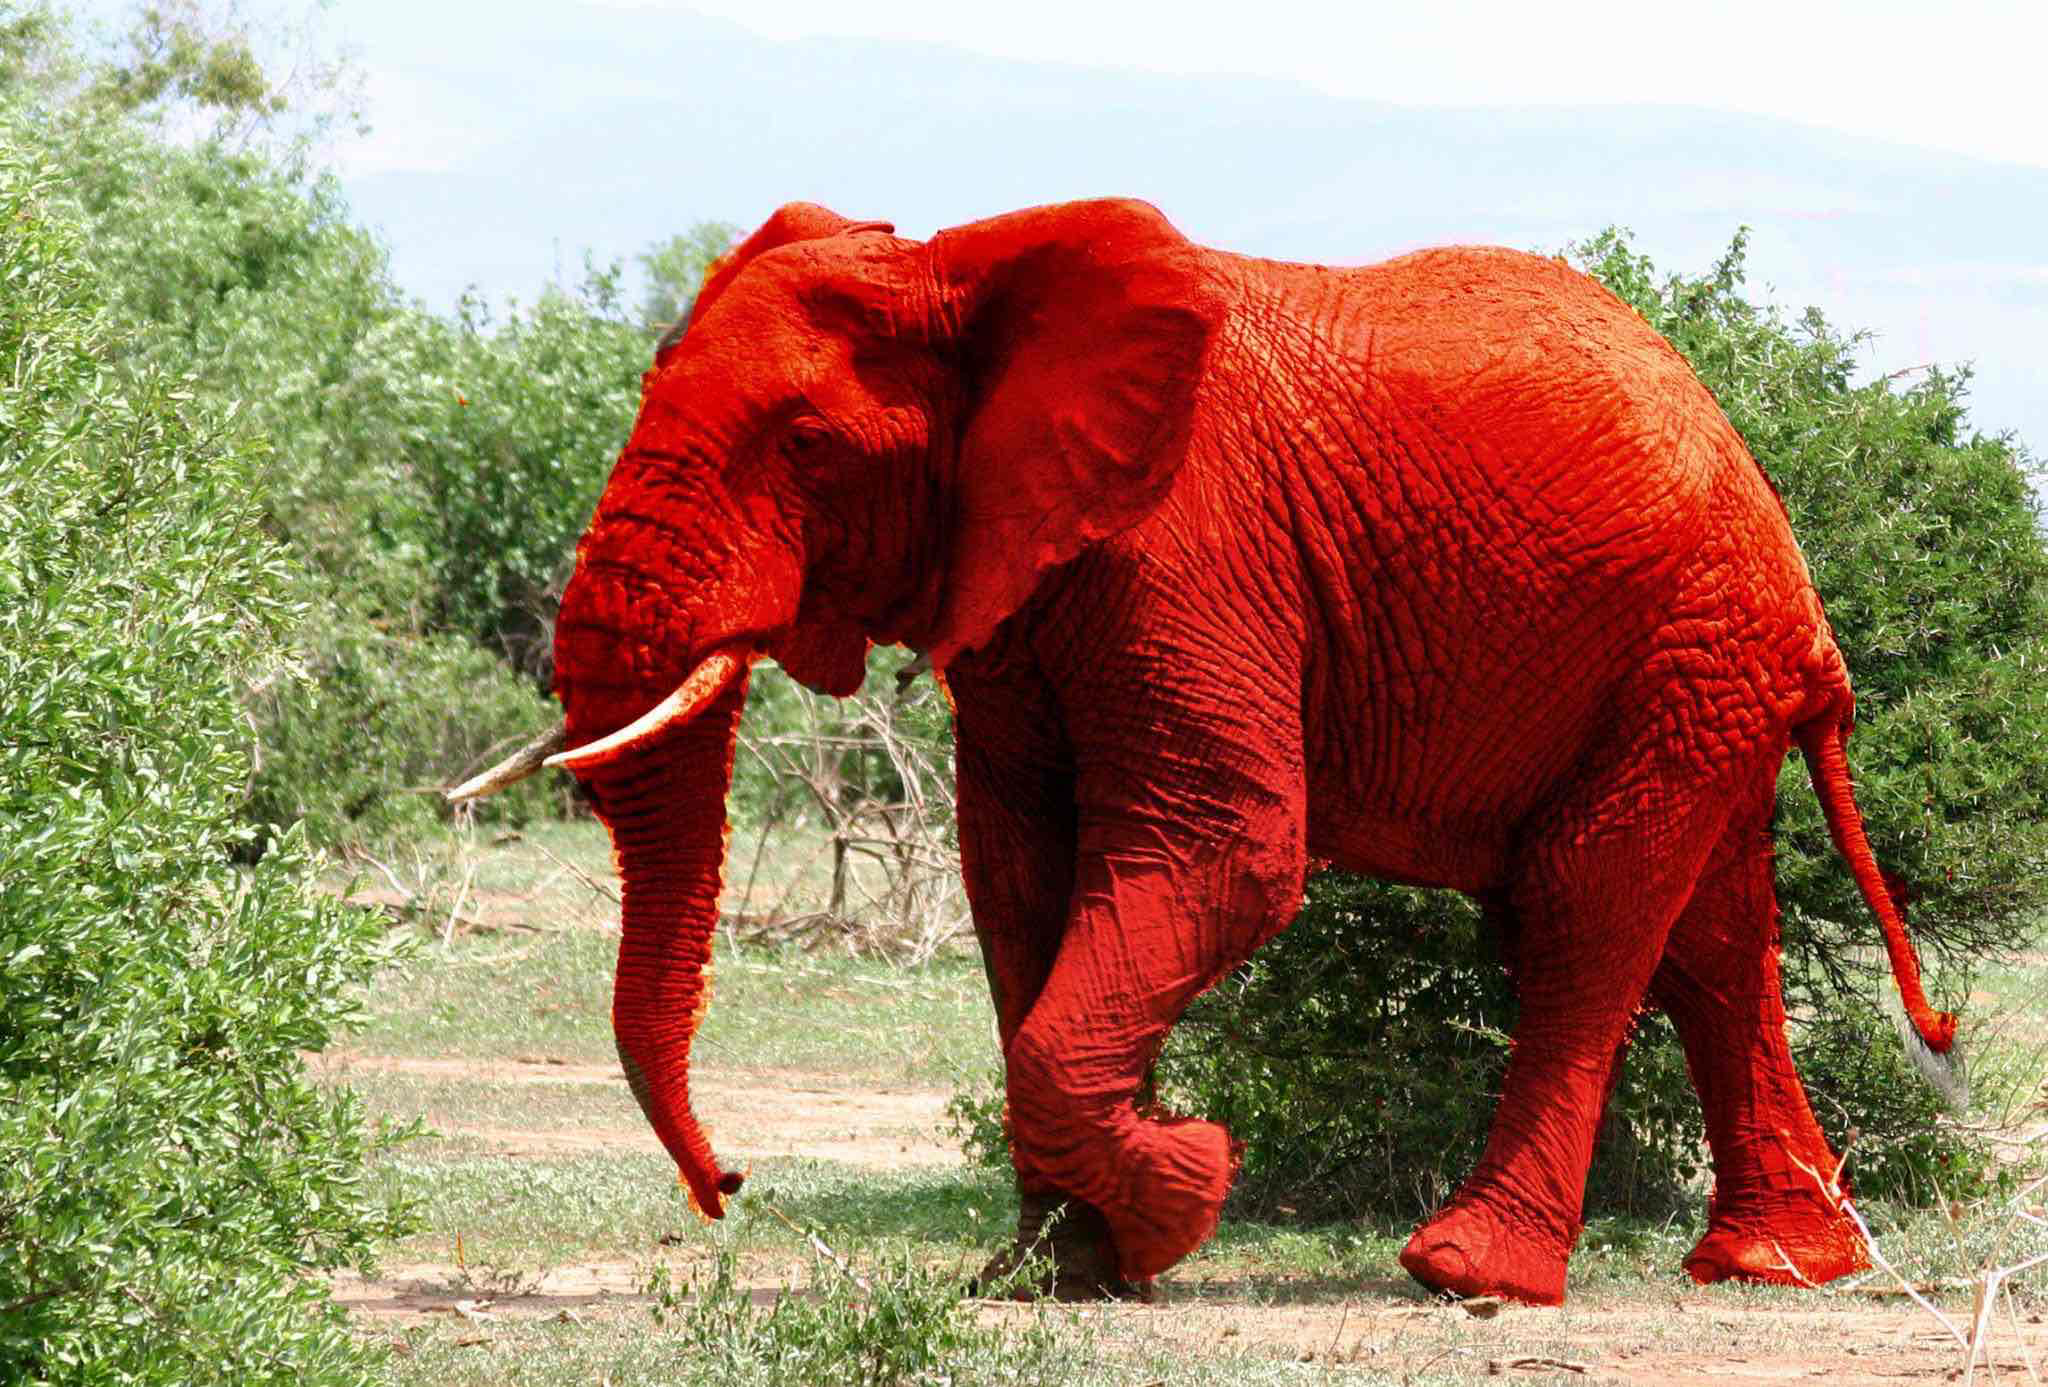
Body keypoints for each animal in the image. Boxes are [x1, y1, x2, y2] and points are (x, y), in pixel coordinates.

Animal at [449, 197, 1957, 1307]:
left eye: (806, 444)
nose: (729, 1188)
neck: (968, 264)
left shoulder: (1187, 544)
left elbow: (1222, 844)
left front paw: (1183, 1186)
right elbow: (1018, 874)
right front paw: (1058, 1271)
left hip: (1691, 641)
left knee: (1587, 901)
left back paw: (1467, 1274)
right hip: (1699, 669)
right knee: (1711, 932)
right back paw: (1777, 1265)